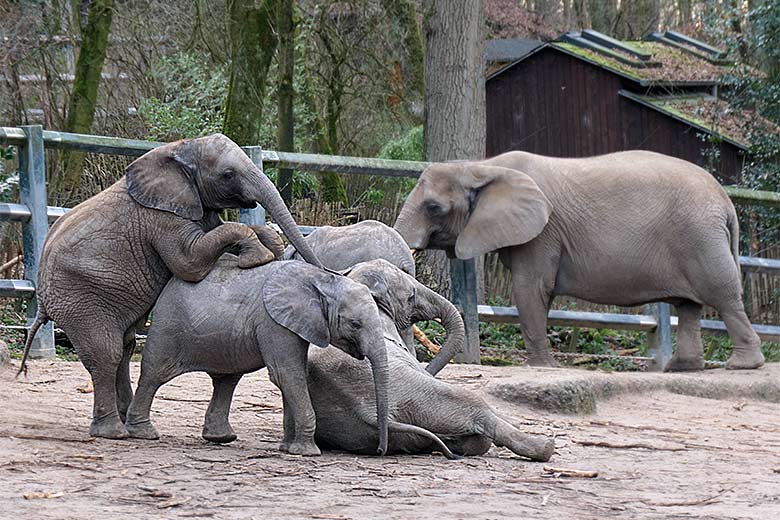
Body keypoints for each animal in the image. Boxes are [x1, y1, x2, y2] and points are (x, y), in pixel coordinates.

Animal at [21, 133, 322, 438]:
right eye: (227, 174)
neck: (178, 149)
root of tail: (42, 298)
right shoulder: (161, 219)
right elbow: (190, 262)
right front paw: (258, 257)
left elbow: (223, 232)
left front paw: (266, 249)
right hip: (78, 297)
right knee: (107, 352)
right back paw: (114, 432)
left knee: (125, 346)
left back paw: (126, 420)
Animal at [126, 256, 390, 456]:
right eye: (355, 324)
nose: (379, 451)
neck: (322, 280)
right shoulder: (273, 323)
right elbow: (287, 375)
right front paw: (307, 452)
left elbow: (294, 376)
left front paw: (288, 449)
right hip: (167, 326)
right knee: (154, 374)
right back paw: (144, 434)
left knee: (227, 380)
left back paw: (222, 438)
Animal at [396, 148, 760, 372]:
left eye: (433, 208)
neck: (481, 165)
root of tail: (725, 201)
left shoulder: (543, 232)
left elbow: (530, 288)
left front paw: (541, 368)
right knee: (689, 306)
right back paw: (681, 368)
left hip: (700, 237)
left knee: (723, 295)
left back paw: (742, 365)